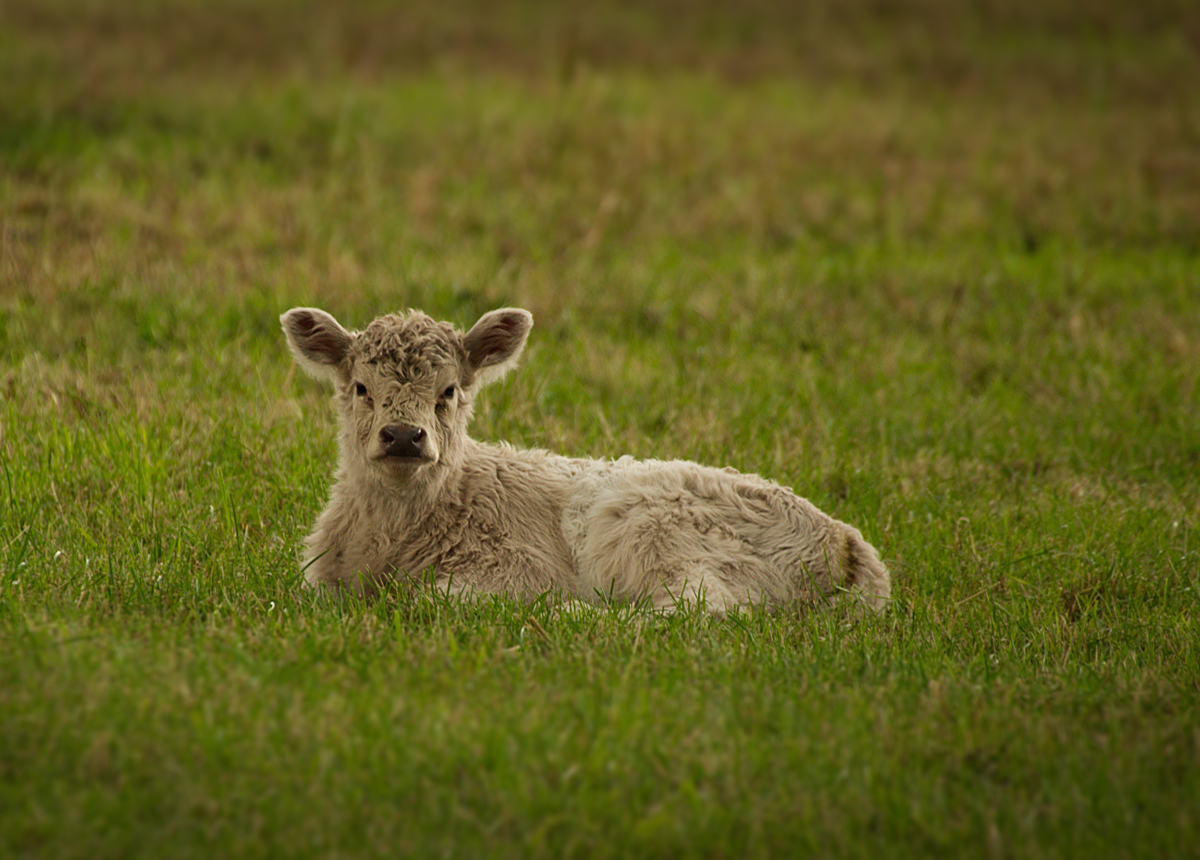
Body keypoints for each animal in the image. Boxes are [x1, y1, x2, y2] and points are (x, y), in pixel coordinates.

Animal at [278, 305, 892, 614]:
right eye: (361, 388)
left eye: (449, 391)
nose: (404, 436)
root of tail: (849, 545)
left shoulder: (519, 566)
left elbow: (437, 599)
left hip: (654, 527)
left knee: (701, 610)